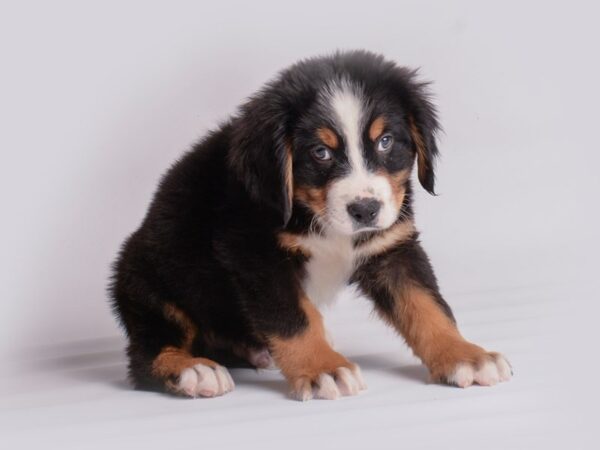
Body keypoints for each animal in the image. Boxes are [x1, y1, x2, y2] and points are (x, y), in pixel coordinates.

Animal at [109, 50, 510, 400]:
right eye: (321, 152)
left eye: (385, 141)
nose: (365, 210)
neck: (318, 218)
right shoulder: (253, 252)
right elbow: (294, 318)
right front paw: (323, 369)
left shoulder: (392, 247)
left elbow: (427, 306)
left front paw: (465, 356)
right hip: (149, 284)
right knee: (146, 355)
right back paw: (193, 370)